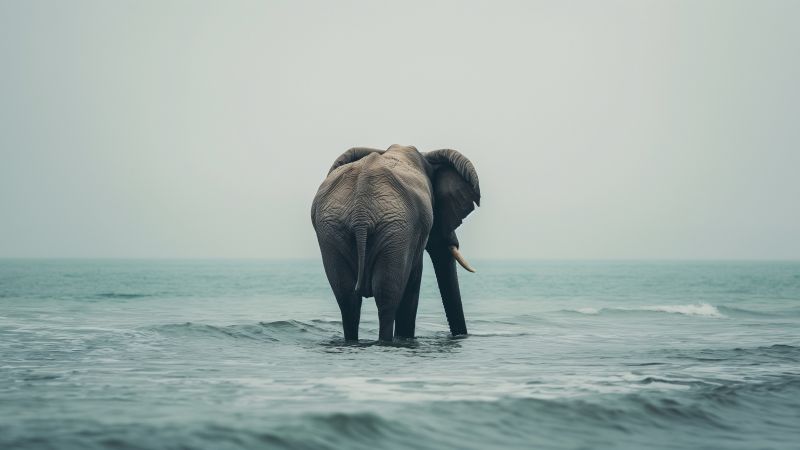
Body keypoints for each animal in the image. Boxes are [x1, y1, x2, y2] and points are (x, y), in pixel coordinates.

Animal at [311, 144, 481, 341]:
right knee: (386, 297)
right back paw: (386, 341)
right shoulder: (412, 235)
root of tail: (361, 213)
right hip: (393, 230)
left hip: (333, 231)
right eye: (433, 213)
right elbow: (413, 280)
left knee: (347, 298)